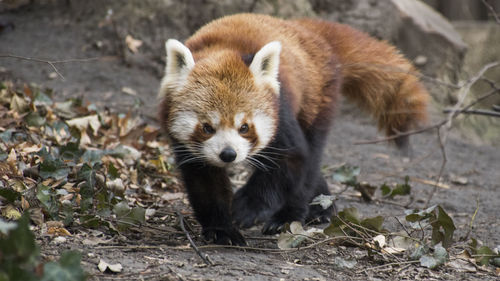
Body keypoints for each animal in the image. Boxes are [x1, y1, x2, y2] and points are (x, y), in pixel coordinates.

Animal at [158, 14, 428, 244]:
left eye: (244, 127)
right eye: (207, 127)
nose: (228, 154)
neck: (222, 50)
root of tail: (307, 30)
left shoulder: (281, 107)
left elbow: (290, 159)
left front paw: (247, 208)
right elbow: (204, 181)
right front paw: (221, 230)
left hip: (318, 98)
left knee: (309, 159)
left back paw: (292, 215)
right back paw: (321, 205)